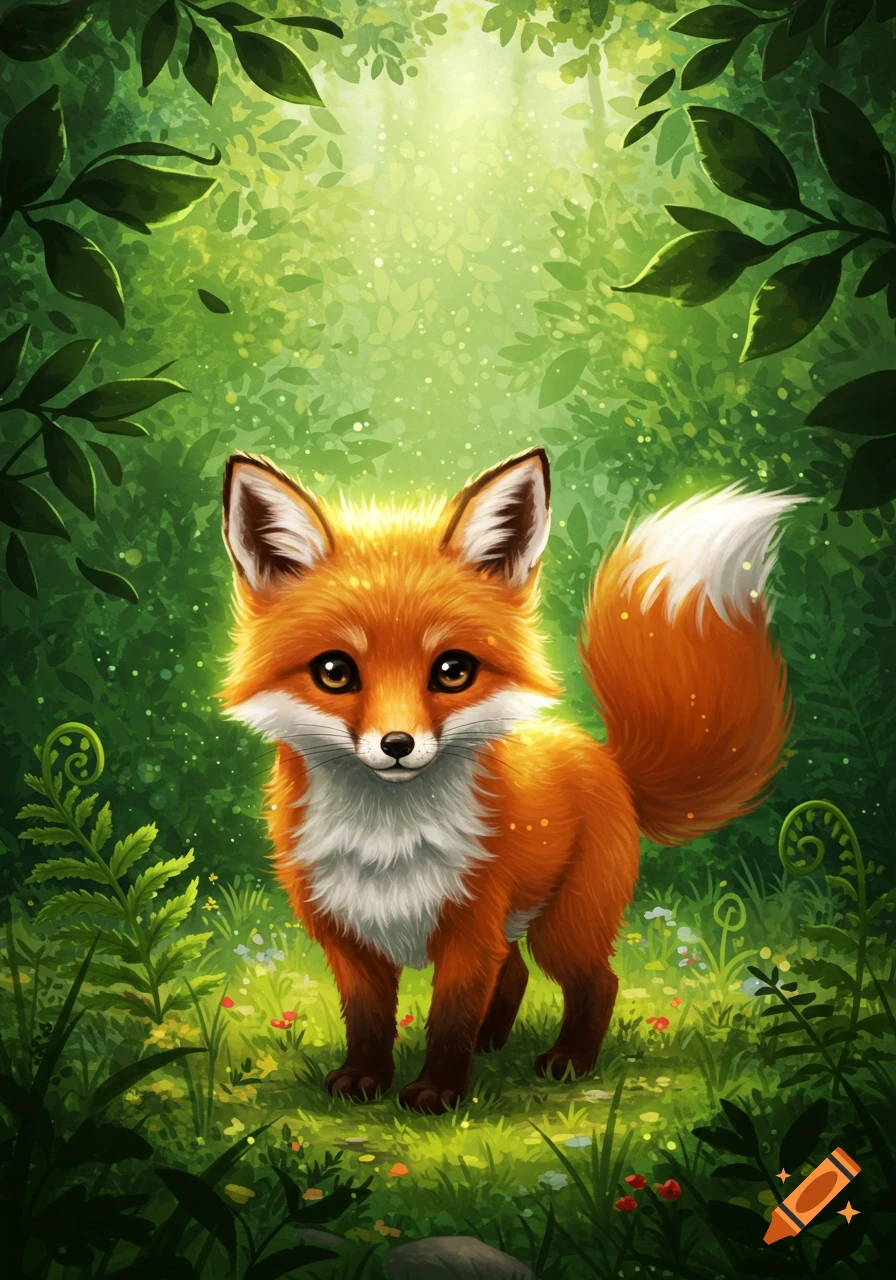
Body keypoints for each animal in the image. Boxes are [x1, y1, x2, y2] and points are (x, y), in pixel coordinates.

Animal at [220, 447, 804, 1114]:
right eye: (335, 671)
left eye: (453, 670)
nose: (397, 746)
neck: (389, 840)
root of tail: (606, 758)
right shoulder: (347, 935)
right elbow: (368, 1019)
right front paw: (365, 1079)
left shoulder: (470, 927)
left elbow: (450, 1020)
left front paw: (438, 1092)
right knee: (518, 971)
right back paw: (494, 1042)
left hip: (565, 927)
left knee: (597, 981)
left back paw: (568, 1060)